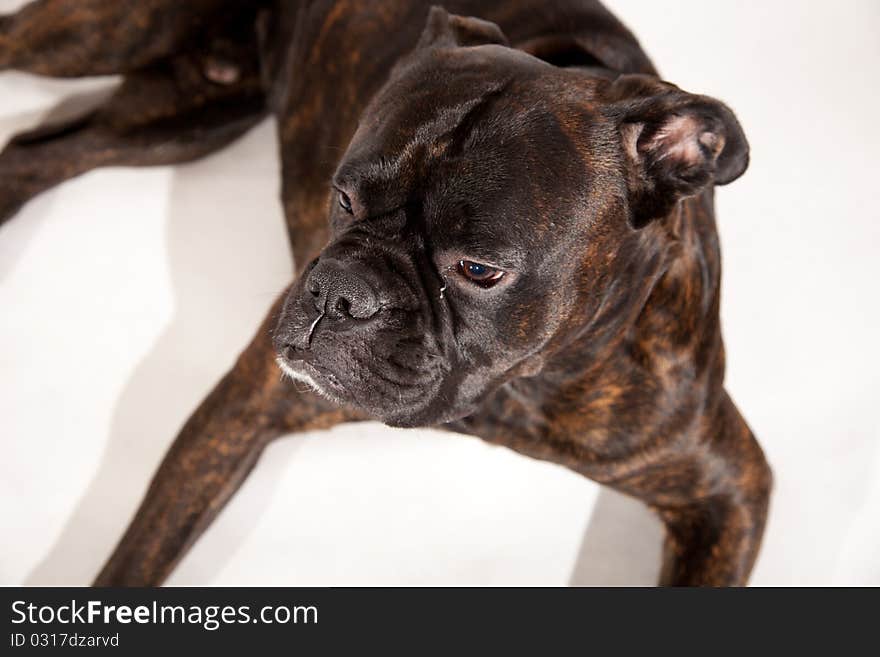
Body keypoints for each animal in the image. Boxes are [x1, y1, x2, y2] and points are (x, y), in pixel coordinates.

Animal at [0, 0, 768, 584]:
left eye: (478, 269)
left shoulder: (728, 488)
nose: (339, 292)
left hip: (187, 118)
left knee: (41, 156)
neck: (518, 384)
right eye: (342, 198)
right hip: (104, 37)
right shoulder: (245, 406)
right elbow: (135, 562)